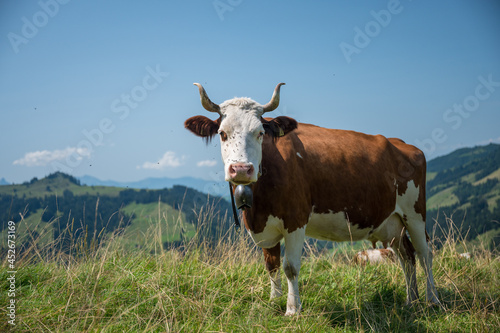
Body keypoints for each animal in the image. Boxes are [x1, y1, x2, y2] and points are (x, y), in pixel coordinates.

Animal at [185, 82, 442, 314]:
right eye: (222, 133)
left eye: (260, 133)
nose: (241, 169)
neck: (258, 206)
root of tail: (403, 145)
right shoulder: (265, 227)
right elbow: (271, 265)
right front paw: (273, 302)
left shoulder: (296, 219)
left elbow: (290, 267)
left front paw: (292, 310)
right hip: (391, 222)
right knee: (407, 256)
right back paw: (411, 300)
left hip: (415, 214)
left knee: (425, 253)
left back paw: (432, 300)